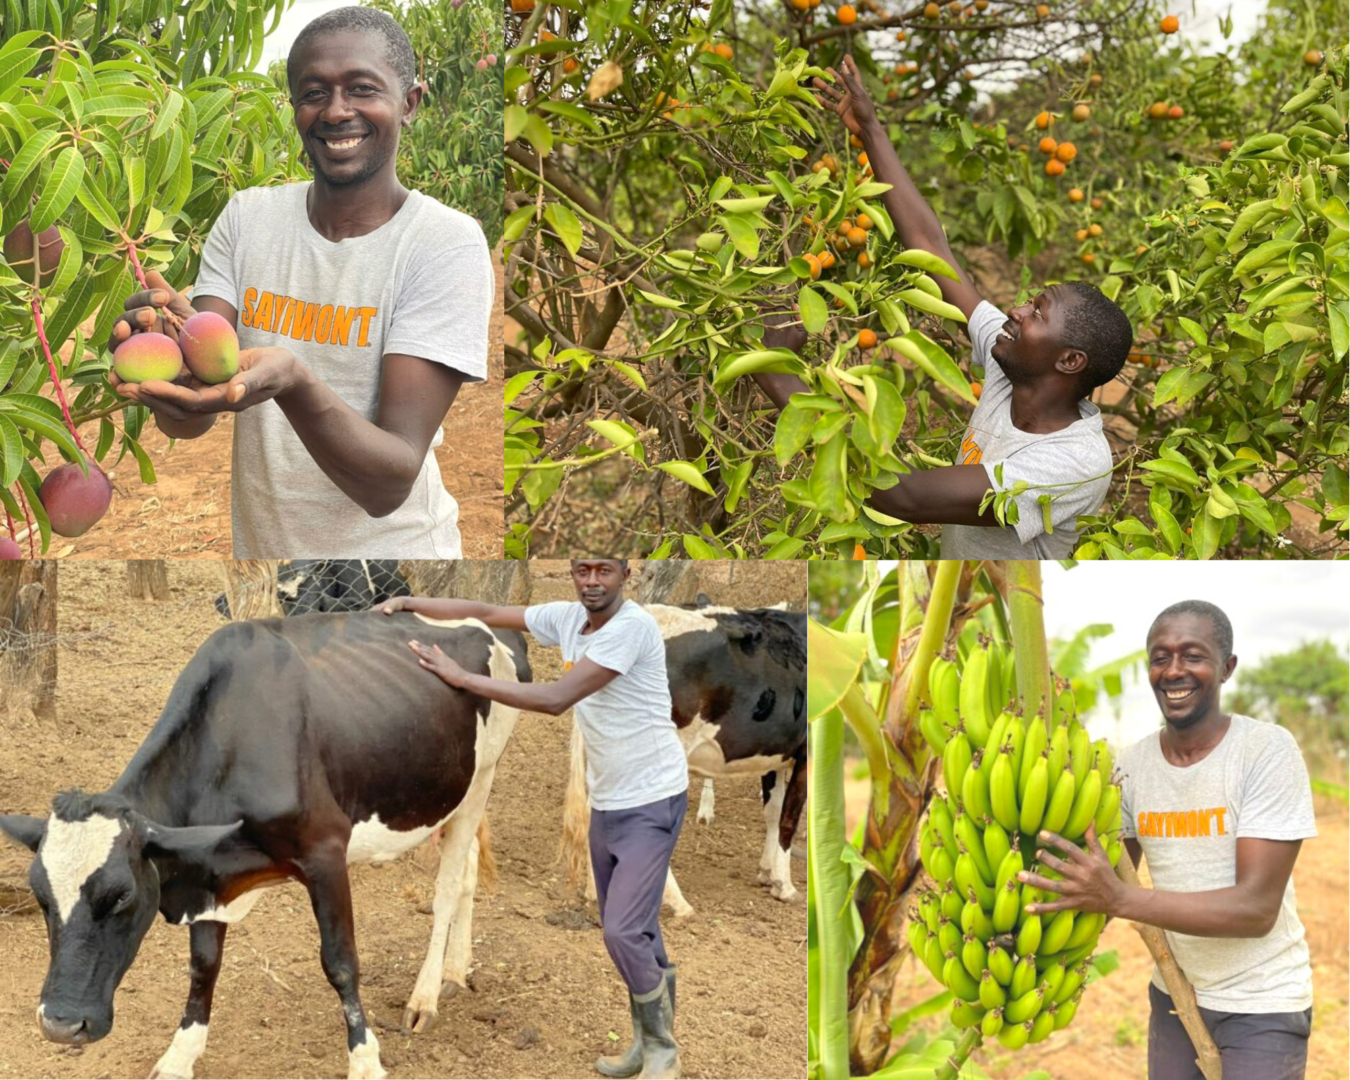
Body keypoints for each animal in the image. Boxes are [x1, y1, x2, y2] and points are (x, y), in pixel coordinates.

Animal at [0, 612, 526, 1074]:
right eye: (40, 897)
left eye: (123, 895)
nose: (61, 1024)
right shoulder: (205, 867)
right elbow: (203, 965)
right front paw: (179, 1057)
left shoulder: (325, 852)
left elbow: (340, 962)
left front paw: (365, 1061)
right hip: (452, 795)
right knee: (469, 871)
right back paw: (455, 972)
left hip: (482, 776)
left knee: (448, 888)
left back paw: (425, 996)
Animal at [558, 602, 799, 918]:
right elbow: (788, 819)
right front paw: (784, 885)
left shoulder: (775, 752)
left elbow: (772, 812)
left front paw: (767, 871)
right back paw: (677, 902)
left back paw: (595, 891)